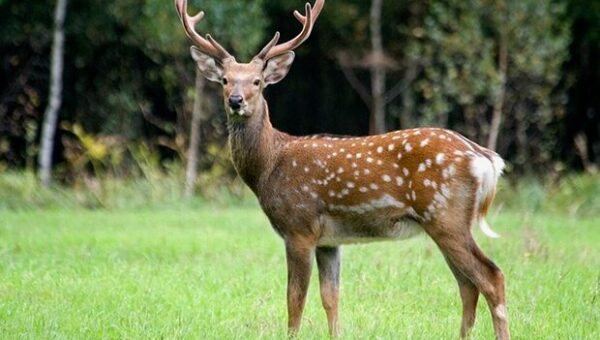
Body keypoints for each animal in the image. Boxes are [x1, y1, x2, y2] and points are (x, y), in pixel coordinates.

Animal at [175, 1, 510, 338]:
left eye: (257, 81)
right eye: (225, 80)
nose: (236, 100)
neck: (268, 167)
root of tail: (485, 158)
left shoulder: (299, 227)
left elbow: (295, 299)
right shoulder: (329, 240)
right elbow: (331, 297)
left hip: (445, 214)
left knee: (491, 276)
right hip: (446, 222)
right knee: (468, 285)